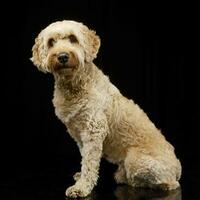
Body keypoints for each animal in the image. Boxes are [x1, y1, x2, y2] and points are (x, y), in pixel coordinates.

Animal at [30, 19, 181, 198]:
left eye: (73, 38)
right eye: (51, 42)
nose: (63, 56)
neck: (76, 85)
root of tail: (178, 168)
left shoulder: (93, 130)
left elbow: (90, 161)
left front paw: (81, 187)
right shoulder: (80, 134)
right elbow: (85, 157)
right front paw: (81, 177)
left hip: (135, 159)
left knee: (169, 184)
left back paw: (126, 177)